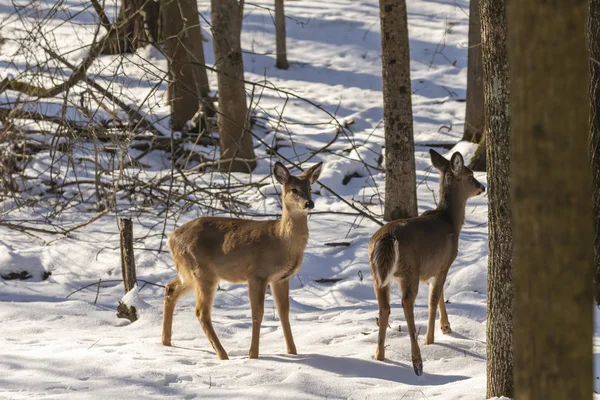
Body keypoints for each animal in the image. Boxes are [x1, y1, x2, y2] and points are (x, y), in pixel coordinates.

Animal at [163, 161, 324, 360]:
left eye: (310, 187)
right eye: (293, 189)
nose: (309, 203)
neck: (281, 240)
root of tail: (170, 238)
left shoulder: (281, 278)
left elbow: (284, 313)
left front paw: (293, 352)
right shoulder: (257, 274)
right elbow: (257, 314)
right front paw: (253, 355)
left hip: (189, 273)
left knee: (170, 289)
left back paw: (166, 343)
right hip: (202, 271)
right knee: (201, 311)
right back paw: (223, 355)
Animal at [368, 149, 486, 376]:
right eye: (470, 175)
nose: (482, 187)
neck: (450, 221)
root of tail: (387, 238)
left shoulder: (432, 268)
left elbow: (439, 295)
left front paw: (446, 327)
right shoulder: (444, 263)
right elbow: (434, 298)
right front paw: (431, 339)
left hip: (376, 274)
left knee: (384, 307)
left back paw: (379, 355)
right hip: (409, 269)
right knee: (406, 303)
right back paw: (418, 361)